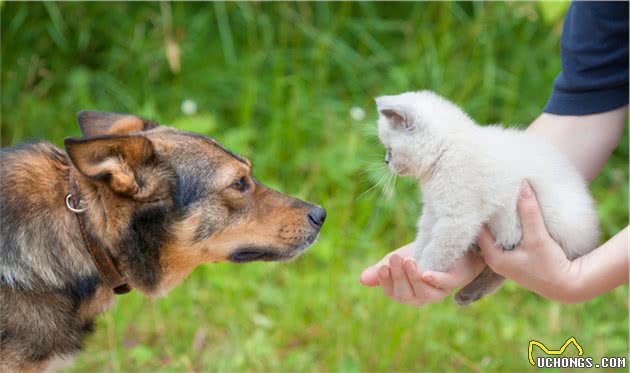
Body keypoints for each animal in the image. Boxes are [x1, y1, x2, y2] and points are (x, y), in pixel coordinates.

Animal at [378, 91, 600, 306]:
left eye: (390, 149)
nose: (386, 161)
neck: (445, 152)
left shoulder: (457, 218)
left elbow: (437, 250)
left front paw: (420, 275)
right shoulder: (434, 211)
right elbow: (424, 239)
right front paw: (412, 264)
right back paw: (468, 293)